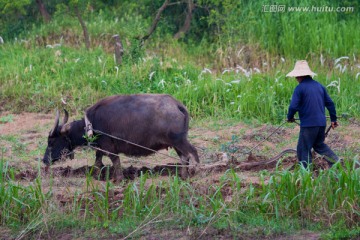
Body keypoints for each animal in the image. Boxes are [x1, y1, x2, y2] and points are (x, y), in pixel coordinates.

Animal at [43, 94, 200, 182]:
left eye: (52, 141)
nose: (44, 160)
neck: (91, 124)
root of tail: (178, 105)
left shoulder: (109, 146)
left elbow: (115, 161)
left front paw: (118, 179)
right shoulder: (100, 147)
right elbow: (98, 161)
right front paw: (96, 176)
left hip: (179, 140)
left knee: (192, 153)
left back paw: (196, 172)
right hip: (176, 143)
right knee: (184, 156)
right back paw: (183, 176)